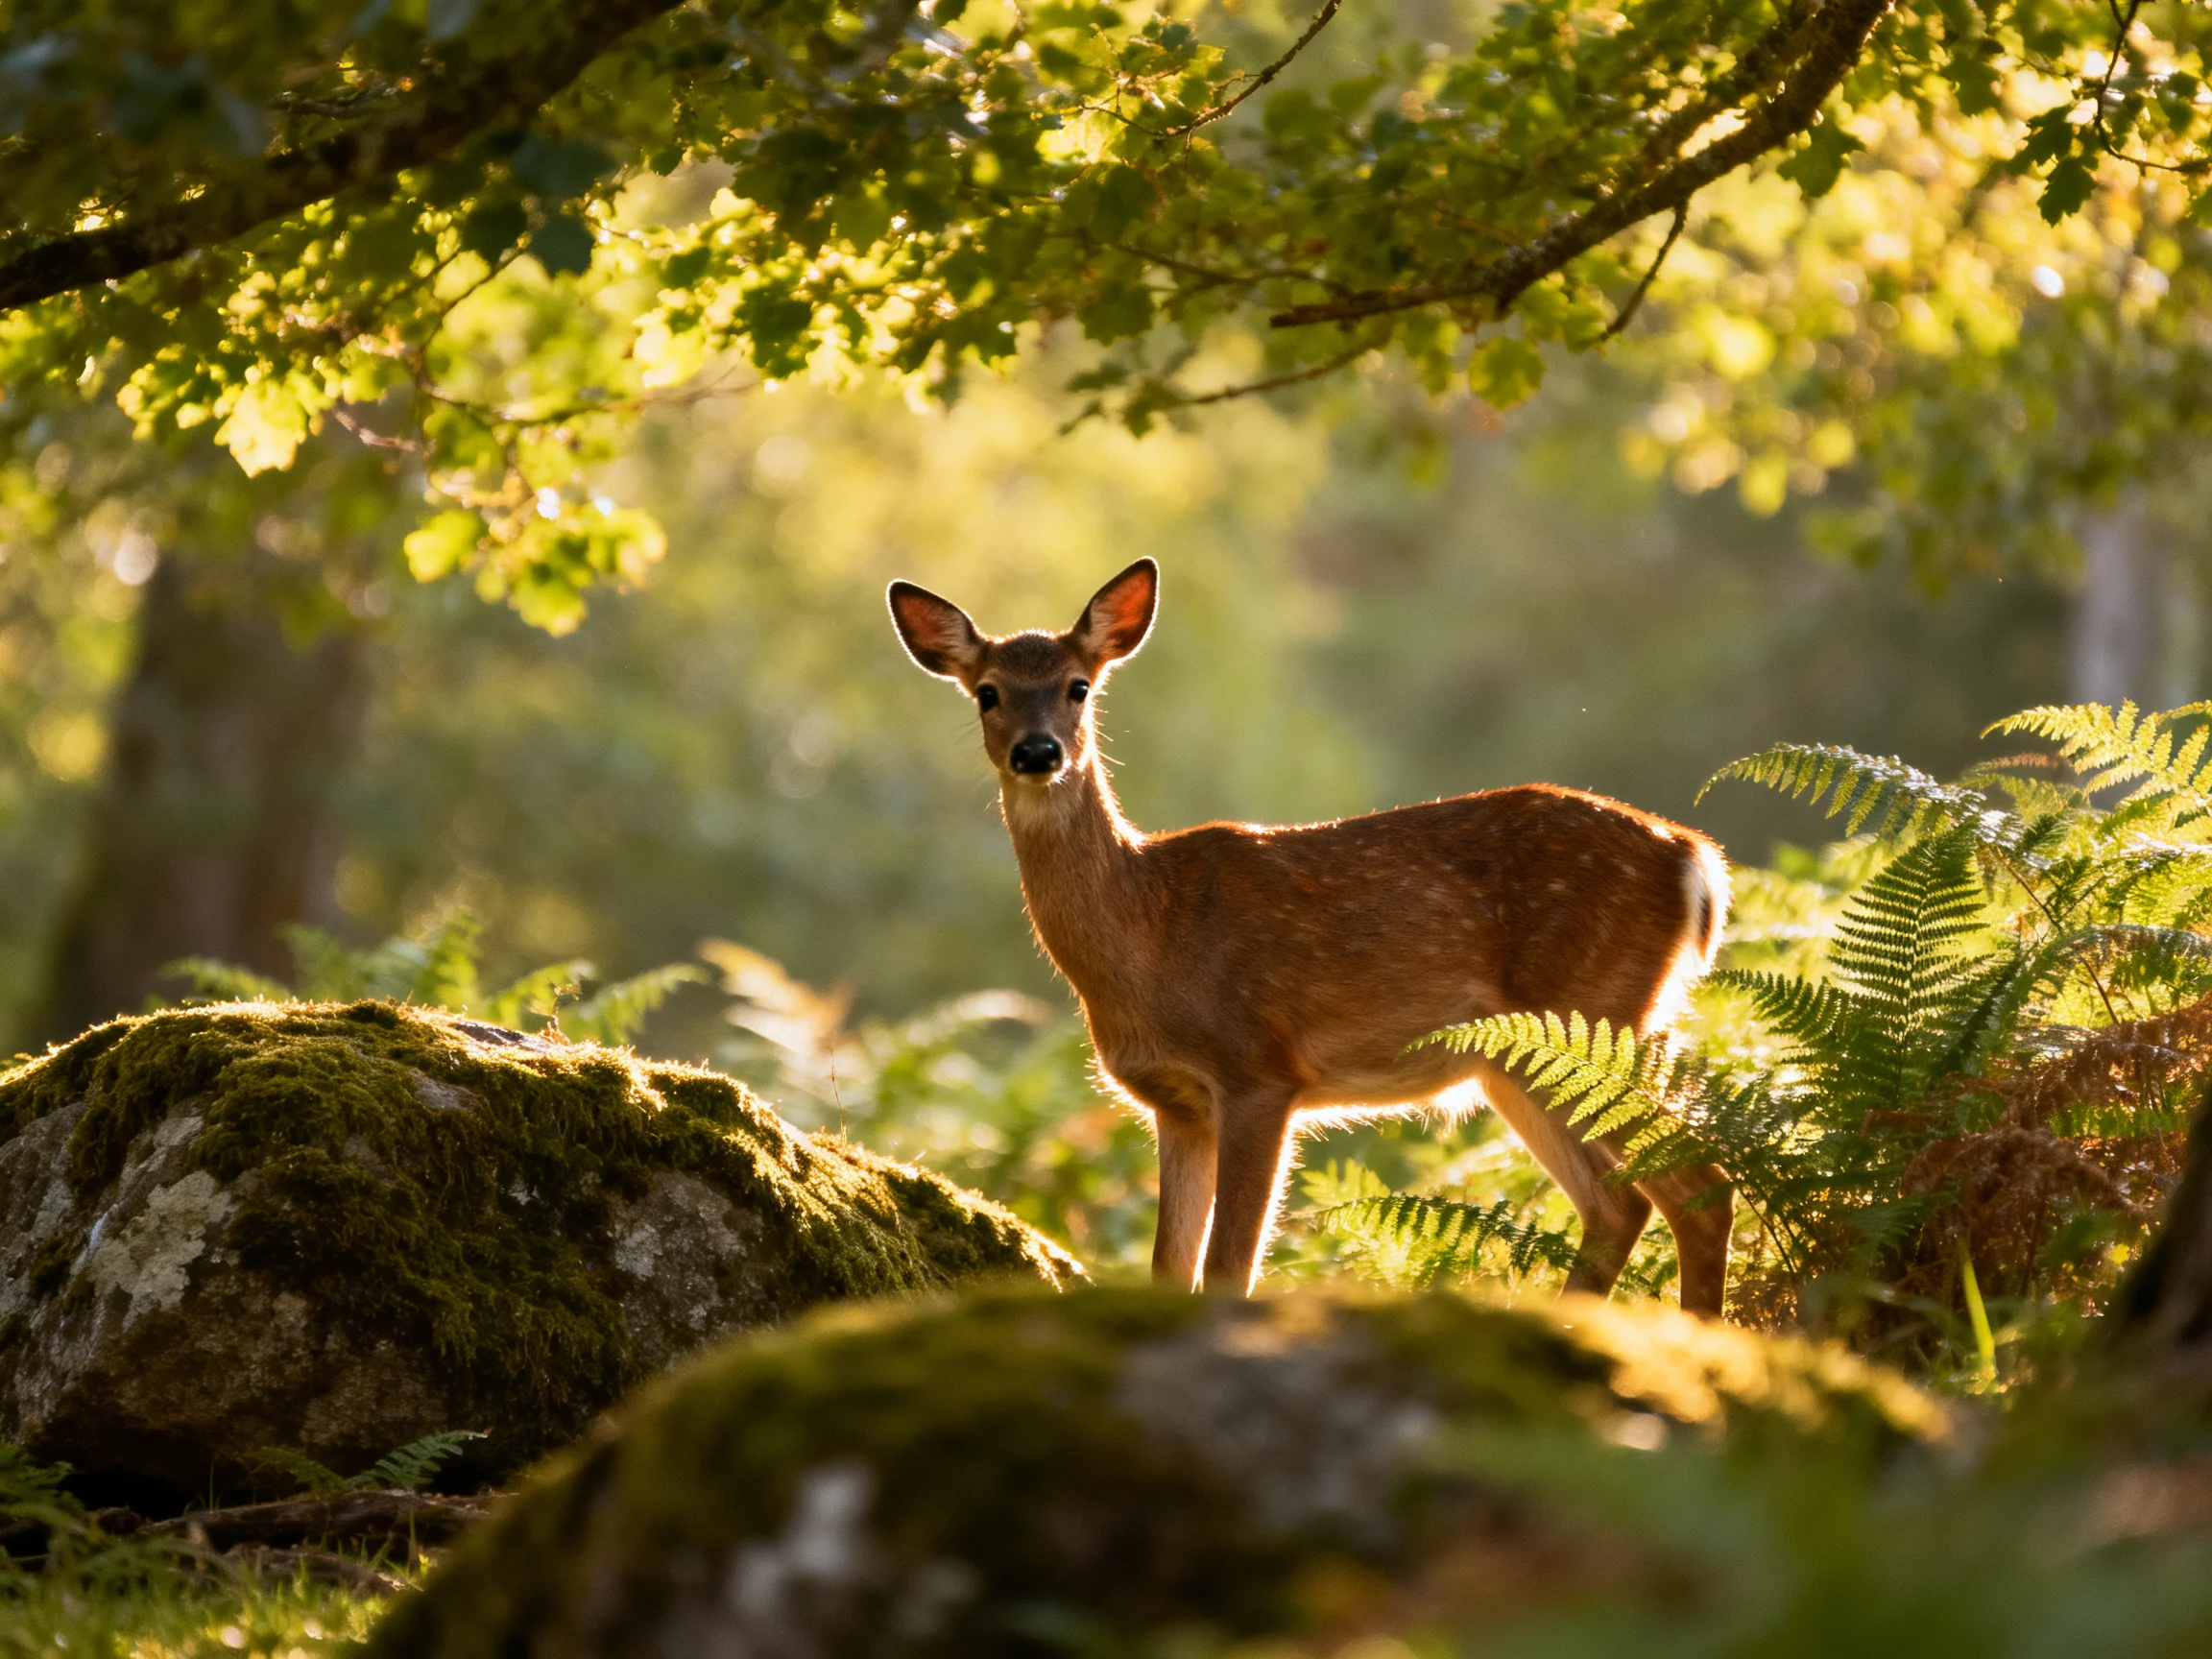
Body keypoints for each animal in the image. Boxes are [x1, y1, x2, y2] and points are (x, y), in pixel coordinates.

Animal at [887, 558, 1735, 1315]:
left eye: (1079, 686)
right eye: (988, 693)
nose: (1038, 752)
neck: (1150, 937)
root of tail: (1695, 860)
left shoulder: (1259, 1069)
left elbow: (1228, 1270)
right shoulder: (1177, 1103)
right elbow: (1169, 1270)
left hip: (1599, 1009)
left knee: (1701, 1188)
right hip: (1525, 1061)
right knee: (1620, 1203)